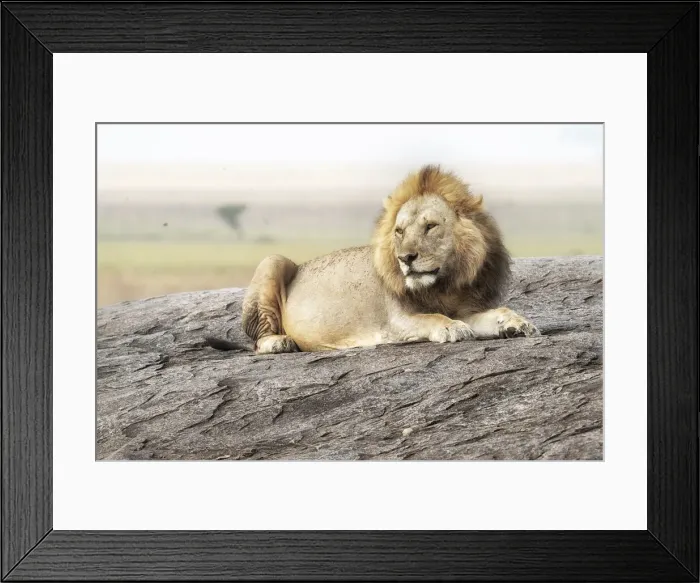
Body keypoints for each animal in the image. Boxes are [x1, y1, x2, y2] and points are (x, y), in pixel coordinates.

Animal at [211, 165, 539, 354]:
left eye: (430, 227)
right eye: (399, 231)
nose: (406, 258)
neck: (443, 284)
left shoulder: (465, 307)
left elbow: (495, 312)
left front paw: (517, 323)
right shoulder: (395, 321)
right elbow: (431, 318)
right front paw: (451, 328)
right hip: (273, 261)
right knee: (256, 342)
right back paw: (279, 342)